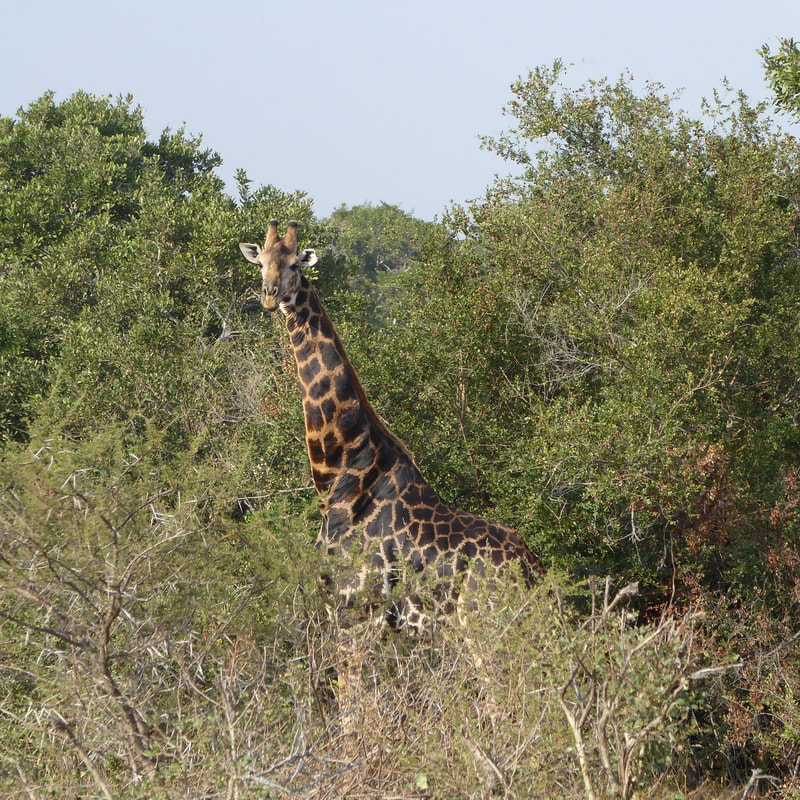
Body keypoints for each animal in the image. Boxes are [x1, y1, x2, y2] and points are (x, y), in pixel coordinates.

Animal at [240, 220, 544, 632]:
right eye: (261, 264)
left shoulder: (357, 604)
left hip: (480, 620)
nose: (271, 296)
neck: (339, 473)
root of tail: (533, 570)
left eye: (295, 265)